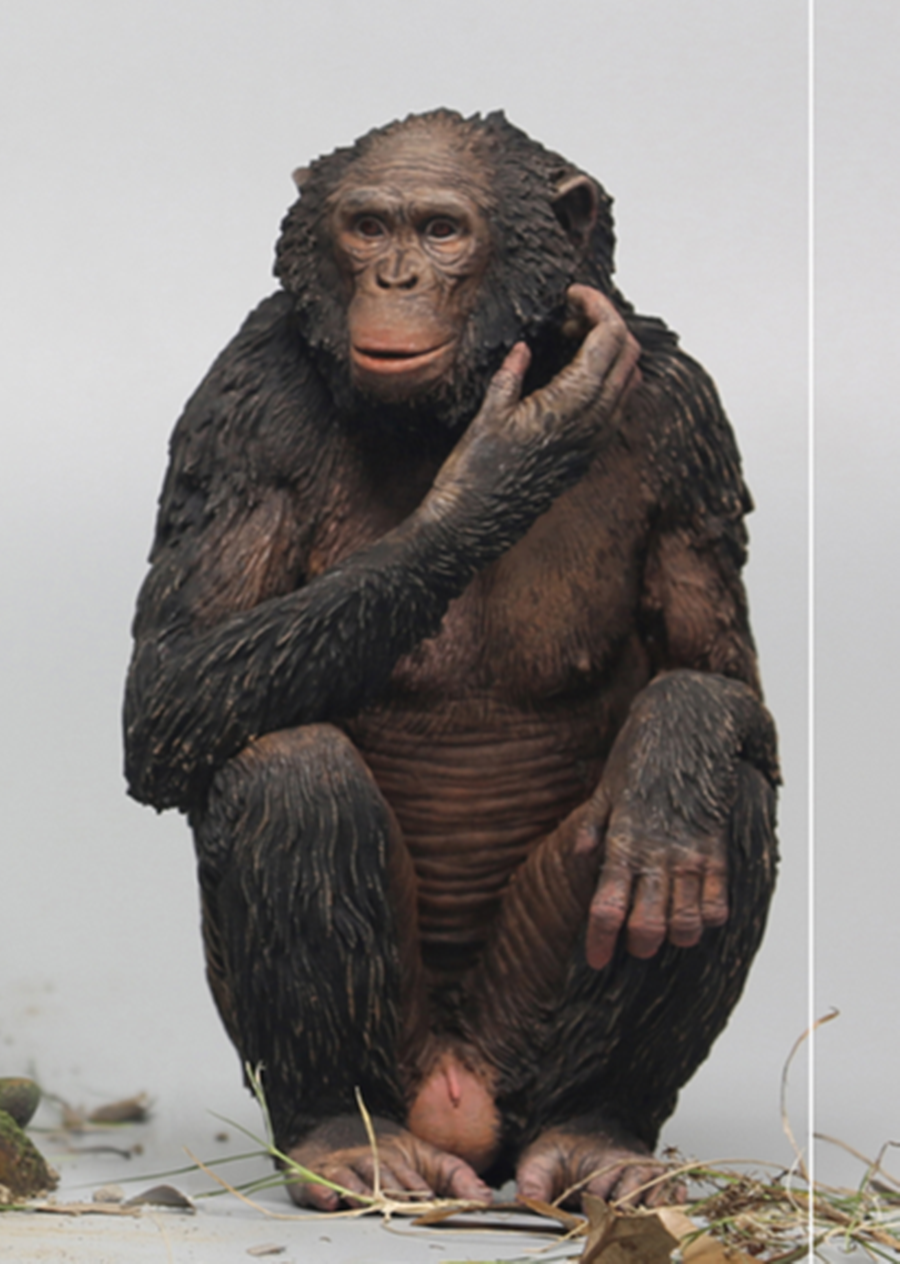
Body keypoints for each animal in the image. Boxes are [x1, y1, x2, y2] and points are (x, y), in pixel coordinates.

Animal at [124, 110, 778, 1210]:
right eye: (367, 225)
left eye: (439, 229)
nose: (394, 279)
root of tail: (461, 1107)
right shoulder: (243, 403)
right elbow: (167, 689)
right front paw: (508, 462)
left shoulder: (691, 423)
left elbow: (724, 683)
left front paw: (676, 748)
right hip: (406, 1057)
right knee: (288, 769)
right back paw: (346, 1139)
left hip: (523, 1047)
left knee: (728, 801)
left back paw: (596, 1132)